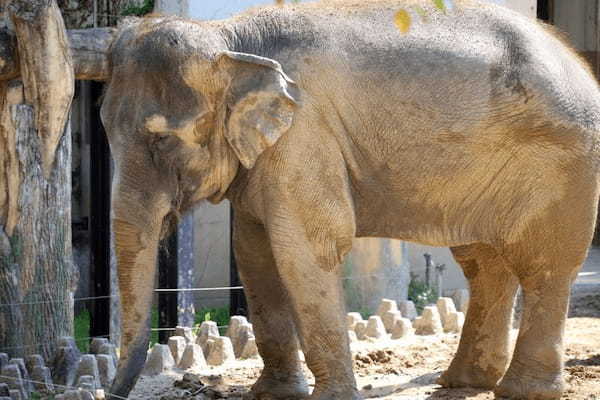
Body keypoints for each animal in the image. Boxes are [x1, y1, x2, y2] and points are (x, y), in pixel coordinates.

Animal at [90, 0, 600, 400]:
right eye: (106, 130)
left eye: (161, 140)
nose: (109, 395)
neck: (231, 39)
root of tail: (577, 62)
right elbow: (255, 253)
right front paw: (273, 394)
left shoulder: (305, 135)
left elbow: (307, 249)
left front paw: (327, 397)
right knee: (484, 263)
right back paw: (464, 382)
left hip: (563, 164)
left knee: (543, 266)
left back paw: (523, 391)